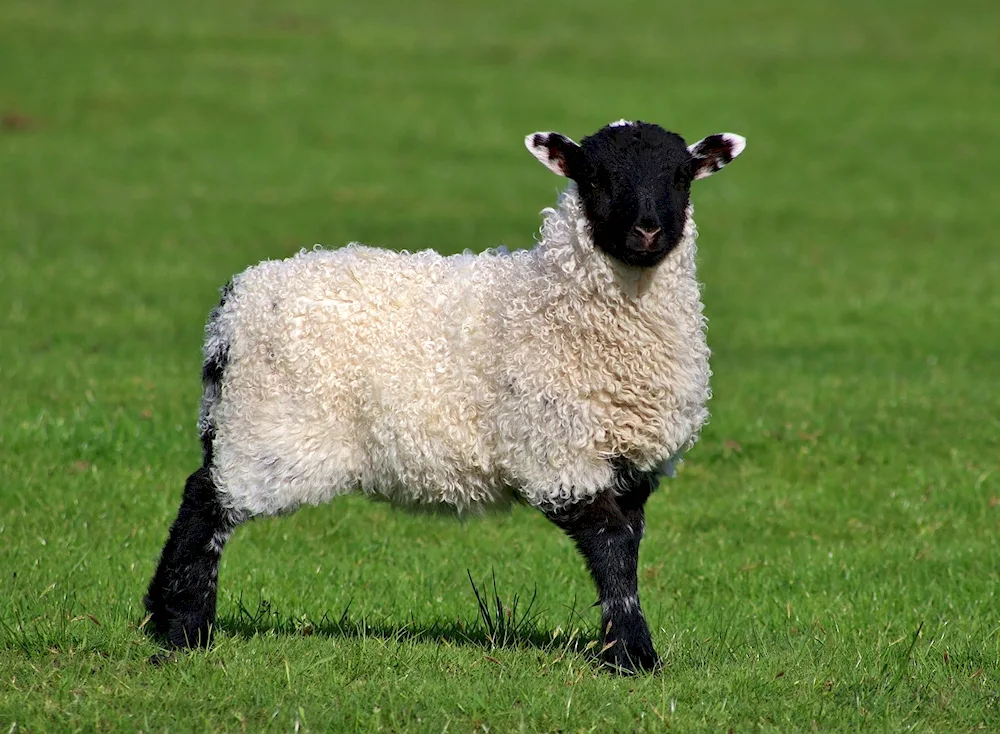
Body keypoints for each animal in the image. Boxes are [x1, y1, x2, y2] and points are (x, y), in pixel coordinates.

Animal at [145, 121, 748, 680]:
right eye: (595, 178)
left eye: (680, 177)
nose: (647, 230)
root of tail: (234, 305)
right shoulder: (558, 453)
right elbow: (612, 548)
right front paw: (635, 656)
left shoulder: (632, 466)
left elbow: (627, 549)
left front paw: (619, 647)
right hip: (272, 426)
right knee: (206, 500)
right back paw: (183, 630)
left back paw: (161, 615)